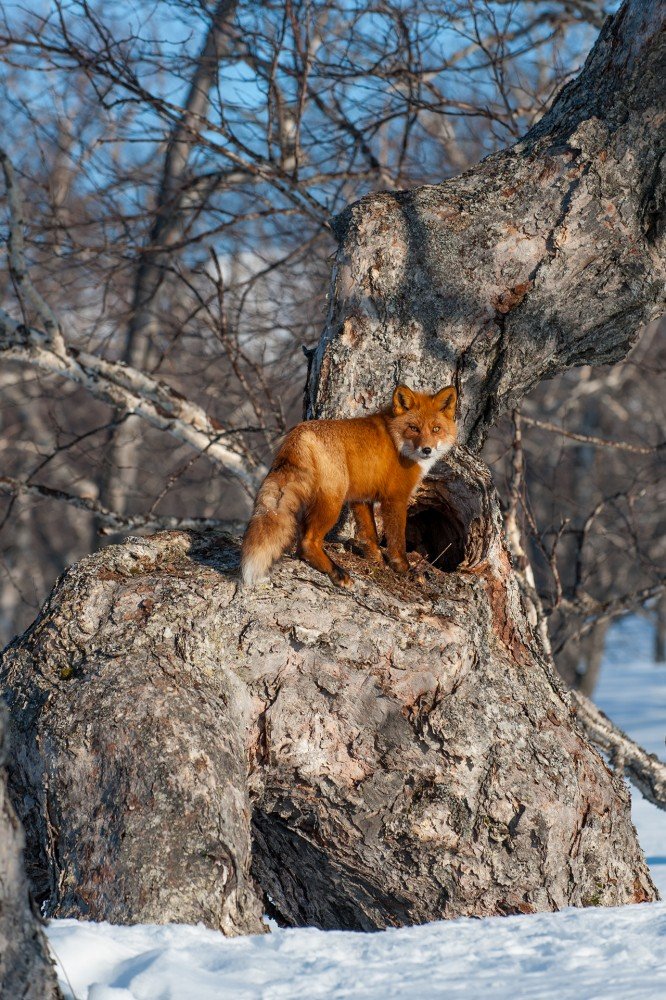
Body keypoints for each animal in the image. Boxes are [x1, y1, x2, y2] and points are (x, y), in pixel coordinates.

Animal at [240, 384, 457, 588]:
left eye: (436, 429)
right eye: (414, 428)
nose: (427, 450)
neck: (397, 443)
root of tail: (300, 431)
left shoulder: (361, 497)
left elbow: (370, 536)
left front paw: (377, 562)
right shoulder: (395, 498)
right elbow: (397, 541)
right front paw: (404, 569)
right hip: (333, 501)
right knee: (307, 542)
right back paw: (336, 572)